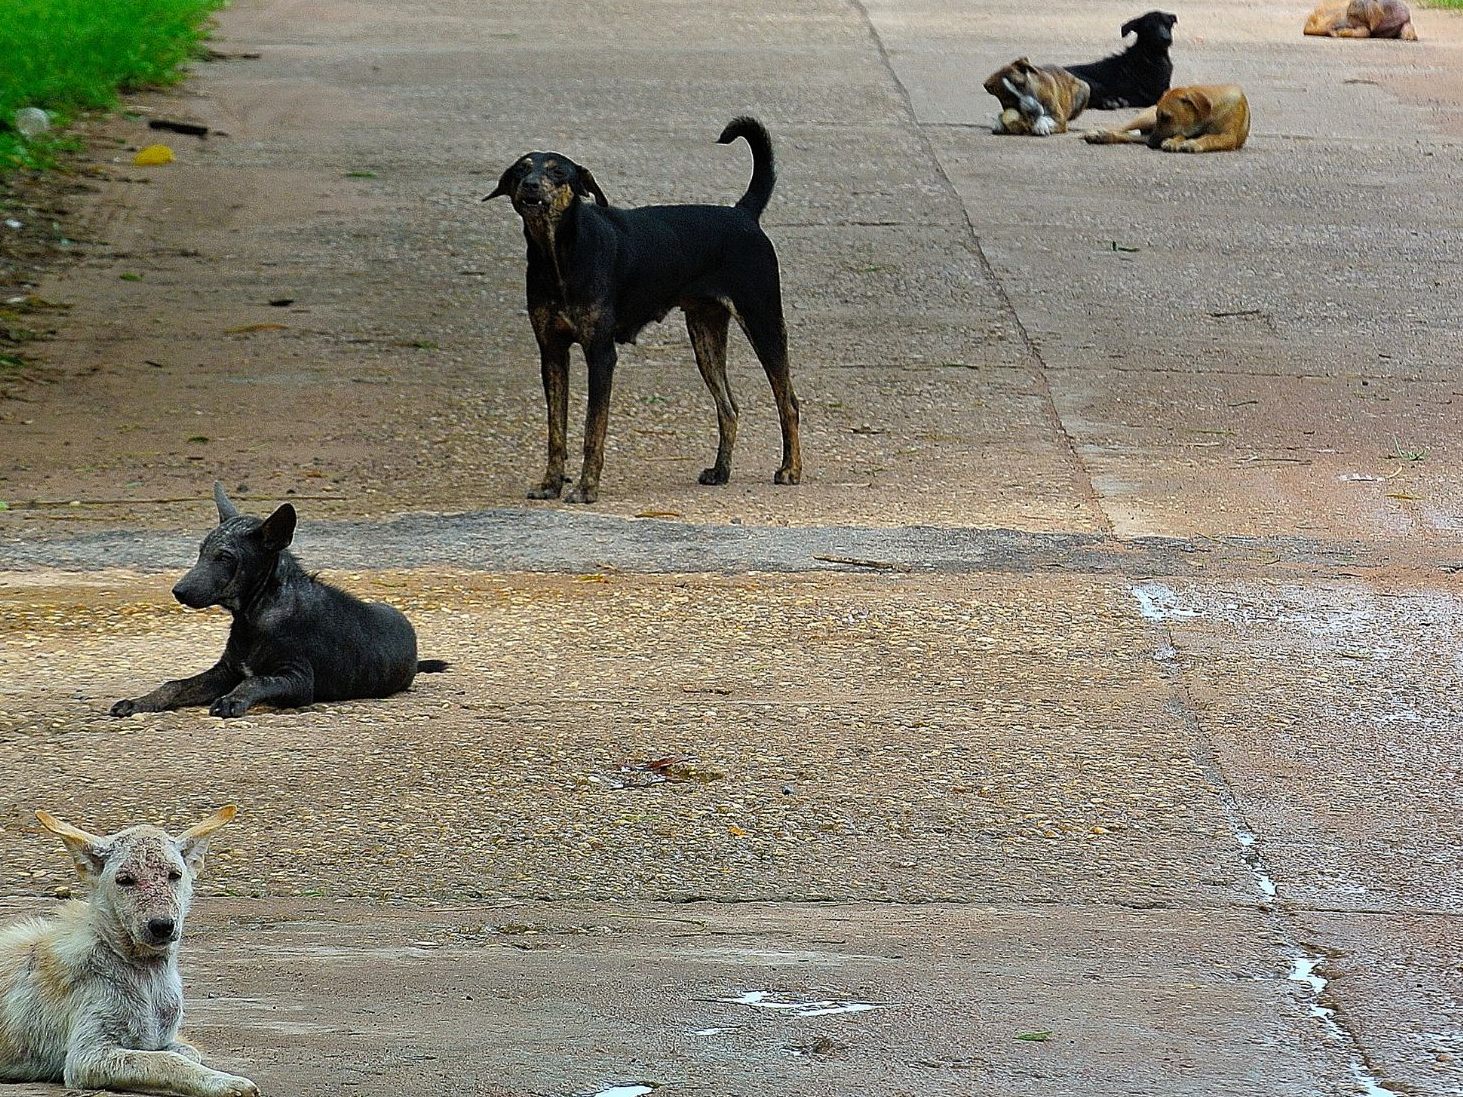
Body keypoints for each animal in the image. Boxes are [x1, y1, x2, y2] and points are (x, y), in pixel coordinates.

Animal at [109, 488, 444, 722]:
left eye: (225, 557)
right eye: (201, 551)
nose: (178, 591)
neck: (254, 614)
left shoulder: (299, 679)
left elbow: (257, 680)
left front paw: (232, 700)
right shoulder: (225, 671)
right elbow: (174, 684)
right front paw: (140, 702)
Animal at [482, 114, 801, 503]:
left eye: (558, 172)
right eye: (521, 169)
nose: (529, 184)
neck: (561, 254)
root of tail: (744, 214)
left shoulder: (601, 355)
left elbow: (593, 430)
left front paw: (586, 487)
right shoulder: (552, 353)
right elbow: (555, 431)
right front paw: (550, 484)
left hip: (762, 320)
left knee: (788, 401)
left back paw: (791, 469)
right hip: (705, 334)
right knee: (729, 407)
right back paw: (721, 471)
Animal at [1082, 84, 1252, 153]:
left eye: (1166, 117)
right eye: (1160, 116)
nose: (1151, 144)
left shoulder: (1229, 137)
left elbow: (1210, 138)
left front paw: (1192, 144)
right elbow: (1180, 136)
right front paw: (1175, 142)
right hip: (1145, 118)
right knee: (1121, 129)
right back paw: (1097, 134)